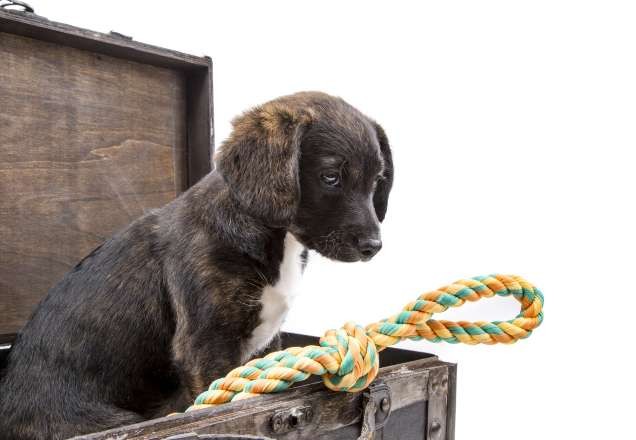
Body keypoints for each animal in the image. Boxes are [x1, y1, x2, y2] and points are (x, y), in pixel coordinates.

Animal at [0, 91, 392, 438]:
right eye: (330, 177)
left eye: (377, 181)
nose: (374, 247)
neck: (271, 235)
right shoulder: (205, 347)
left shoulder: (264, 346)